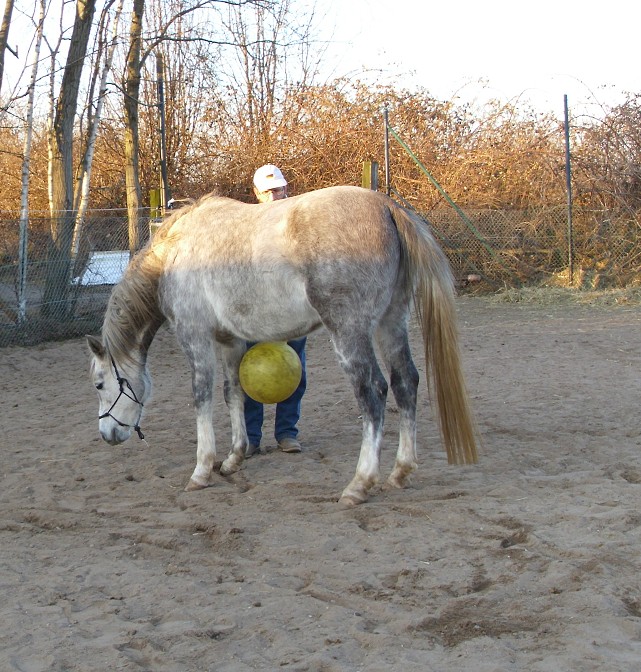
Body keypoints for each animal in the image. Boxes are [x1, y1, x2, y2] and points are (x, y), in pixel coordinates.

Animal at [86, 184, 476, 504]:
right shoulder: (231, 340)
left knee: (374, 392)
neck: (174, 254)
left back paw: (360, 484)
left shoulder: (194, 336)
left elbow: (202, 397)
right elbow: (233, 393)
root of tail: (386, 206)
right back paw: (400, 471)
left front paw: (201, 470)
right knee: (405, 382)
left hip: (349, 332)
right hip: (390, 323)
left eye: (100, 384)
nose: (107, 434)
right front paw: (234, 457)